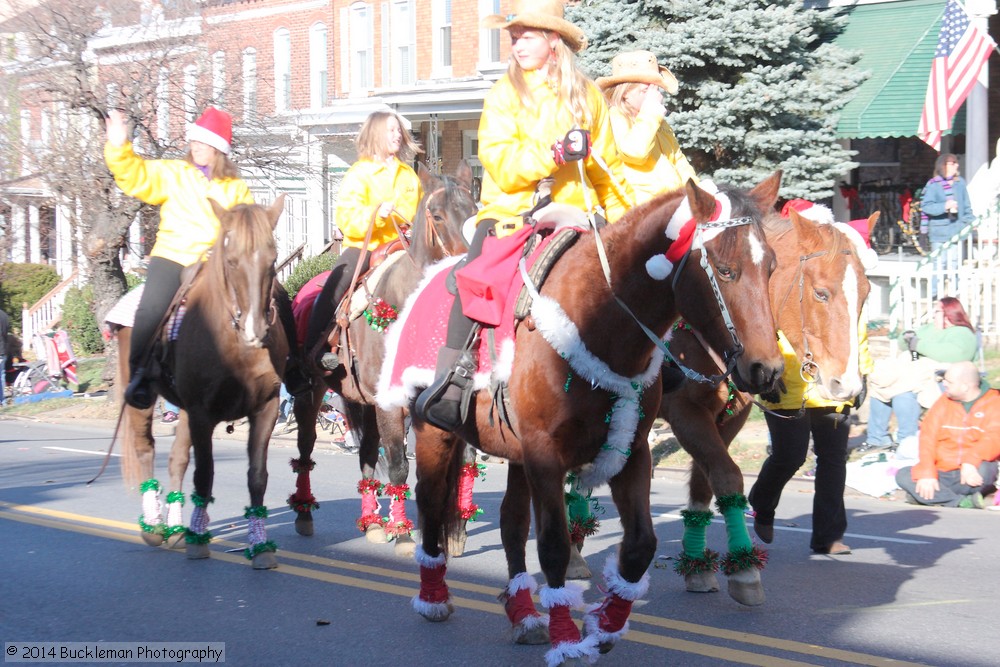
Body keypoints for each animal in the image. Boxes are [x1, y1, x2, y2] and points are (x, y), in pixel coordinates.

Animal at [119, 196, 290, 572]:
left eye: (272, 260)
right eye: (231, 260)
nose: (255, 329)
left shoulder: (266, 408)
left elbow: (257, 475)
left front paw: (260, 545)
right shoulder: (201, 413)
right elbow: (205, 473)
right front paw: (199, 539)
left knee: (176, 459)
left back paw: (175, 528)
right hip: (142, 399)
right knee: (145, 448)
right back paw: (154, 526)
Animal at [290, 164, 476, 556]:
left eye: (475, 211)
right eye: (437, 215)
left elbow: (461, 461)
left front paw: (453, 534)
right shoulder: (392, 404)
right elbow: (398, 466)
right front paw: (404, 534)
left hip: (362, 400)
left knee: (365, 452)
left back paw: (373, 523)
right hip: (311, 393)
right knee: (307, 446)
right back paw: (304, 514)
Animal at [660, 209, 880, 604]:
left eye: (866, 293)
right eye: (821, 293)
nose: (849, 385)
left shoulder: (728, 418)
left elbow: (705, 484)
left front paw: (698, 568)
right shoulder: (684, 412)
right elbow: (727, 475)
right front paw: (744, 571)